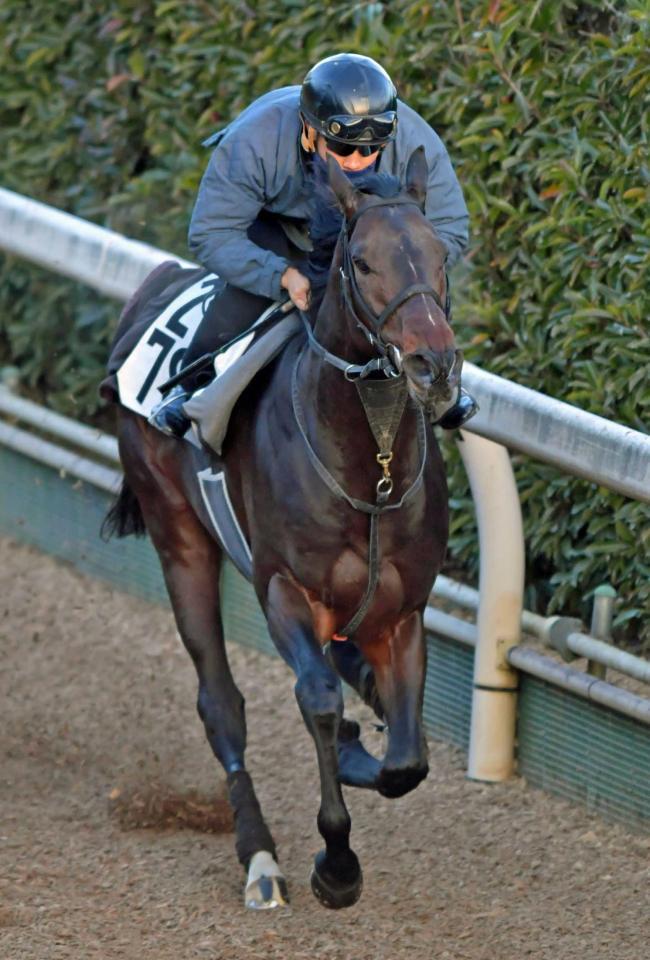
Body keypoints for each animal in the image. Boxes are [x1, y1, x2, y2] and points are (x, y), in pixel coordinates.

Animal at [104, 148, 458, 908]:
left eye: (440, 253)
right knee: (220, 702)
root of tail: (156, 284)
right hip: (179, 538)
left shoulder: (402, 612)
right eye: (361, 261)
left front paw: (365, 740)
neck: (371, 471)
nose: (434, 365)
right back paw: (260, 858)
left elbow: (407, 758)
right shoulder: (288, 591)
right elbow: (317, 701)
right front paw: (337, 862)